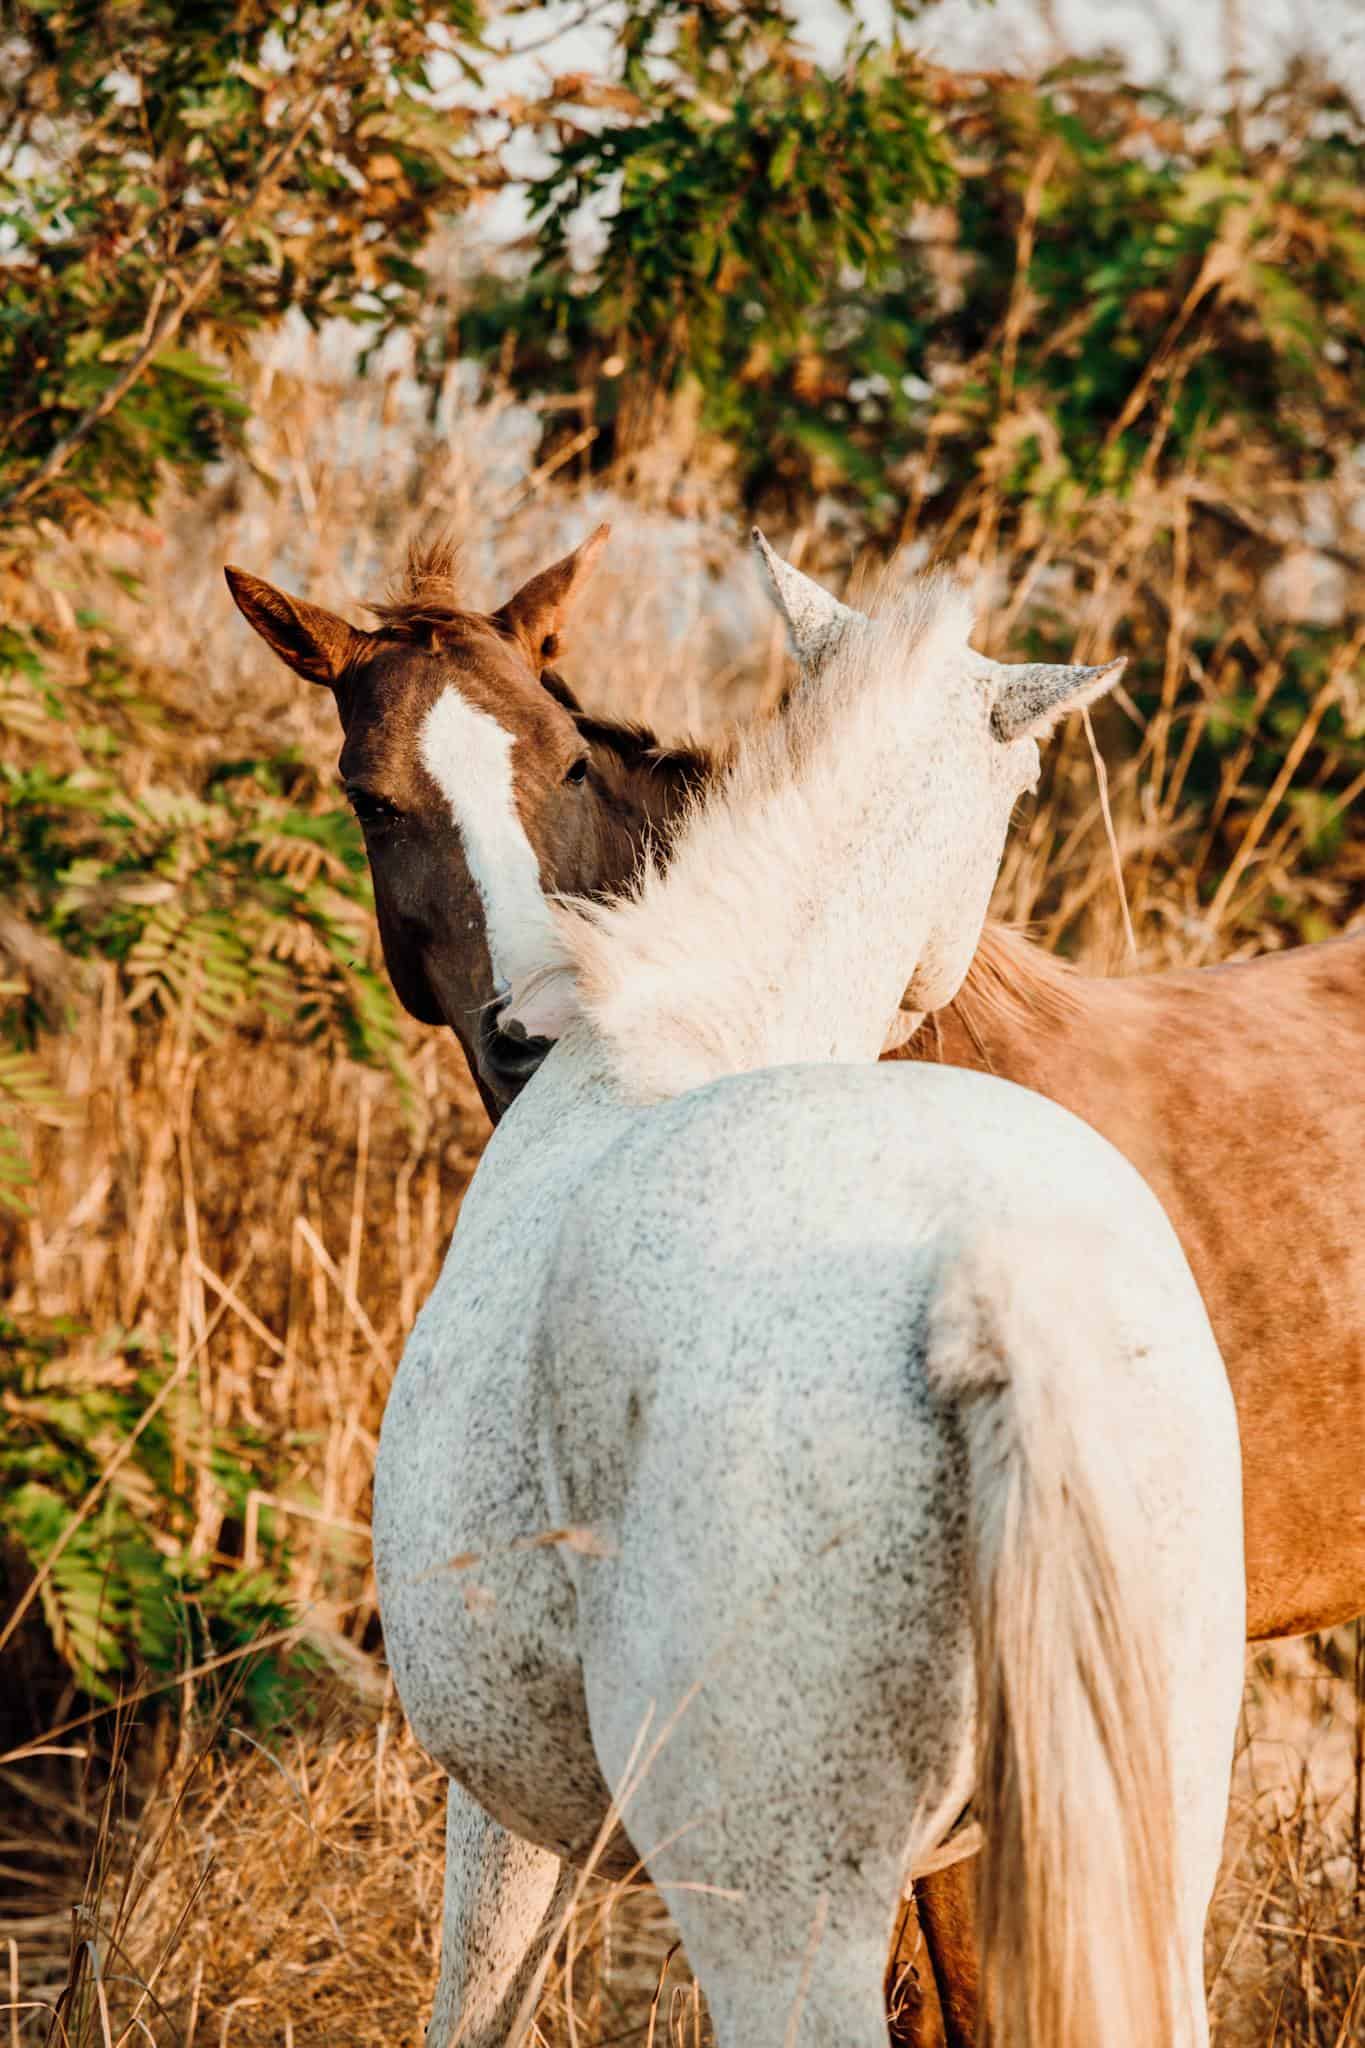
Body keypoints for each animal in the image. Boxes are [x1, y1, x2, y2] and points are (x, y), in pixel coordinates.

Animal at [227, 536, 1365, 2039]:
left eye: (565, 760)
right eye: (374, 795)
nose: (524, 1029)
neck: (705, 1019)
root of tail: (982, 1290)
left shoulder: (511, 1817)